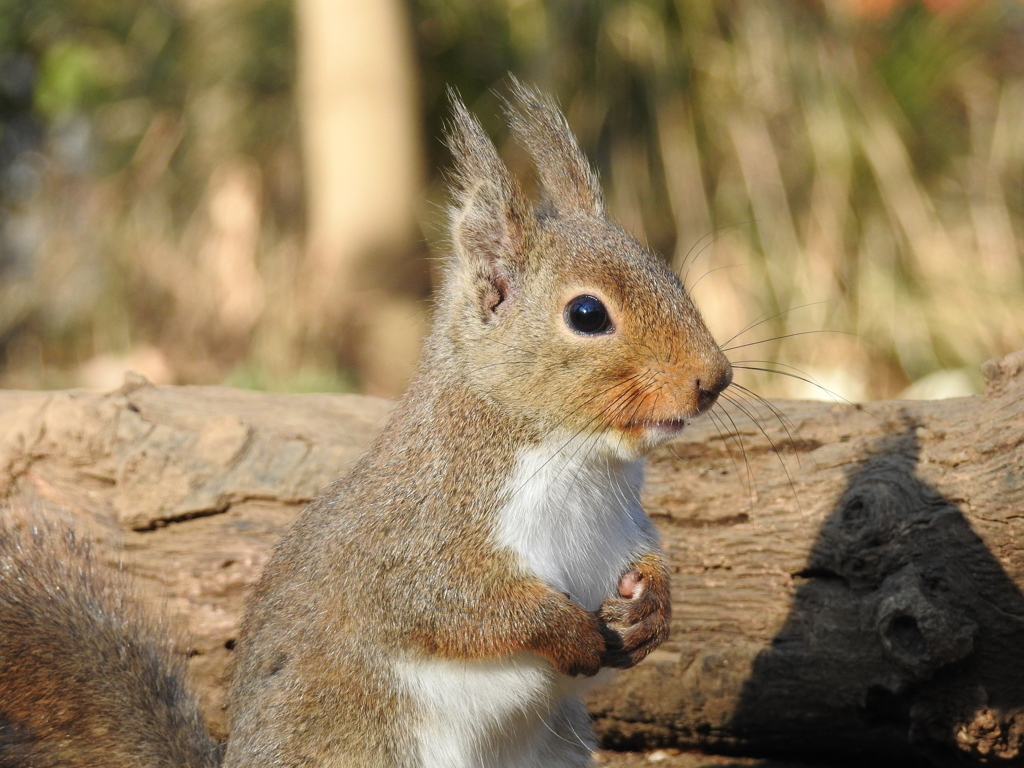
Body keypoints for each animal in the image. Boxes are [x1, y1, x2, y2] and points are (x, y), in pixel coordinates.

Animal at [0, 83, 733, 768]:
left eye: (667, 273)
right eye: (587, 314)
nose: (715, 379)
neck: (578, 458)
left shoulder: (623, 524)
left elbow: (650, 558)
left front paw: (651, 611)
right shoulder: (418, 538)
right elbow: (455, 605)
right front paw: (569, 632)